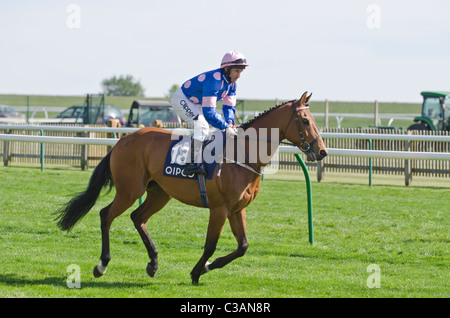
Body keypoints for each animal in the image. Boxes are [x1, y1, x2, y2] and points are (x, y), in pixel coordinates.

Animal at [56, 91, 326, 284]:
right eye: (305, 120)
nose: (322, 151)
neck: (244, 155)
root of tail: (122, 141)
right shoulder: (219, 209)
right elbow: (210, 245)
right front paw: (197, 271)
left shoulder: (237, 209)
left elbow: (243, 246)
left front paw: (207, 267)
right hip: (130, 190)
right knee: (106, 215)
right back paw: (102, 265)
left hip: (159, 193)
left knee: (137, 218)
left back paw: (153, 263)